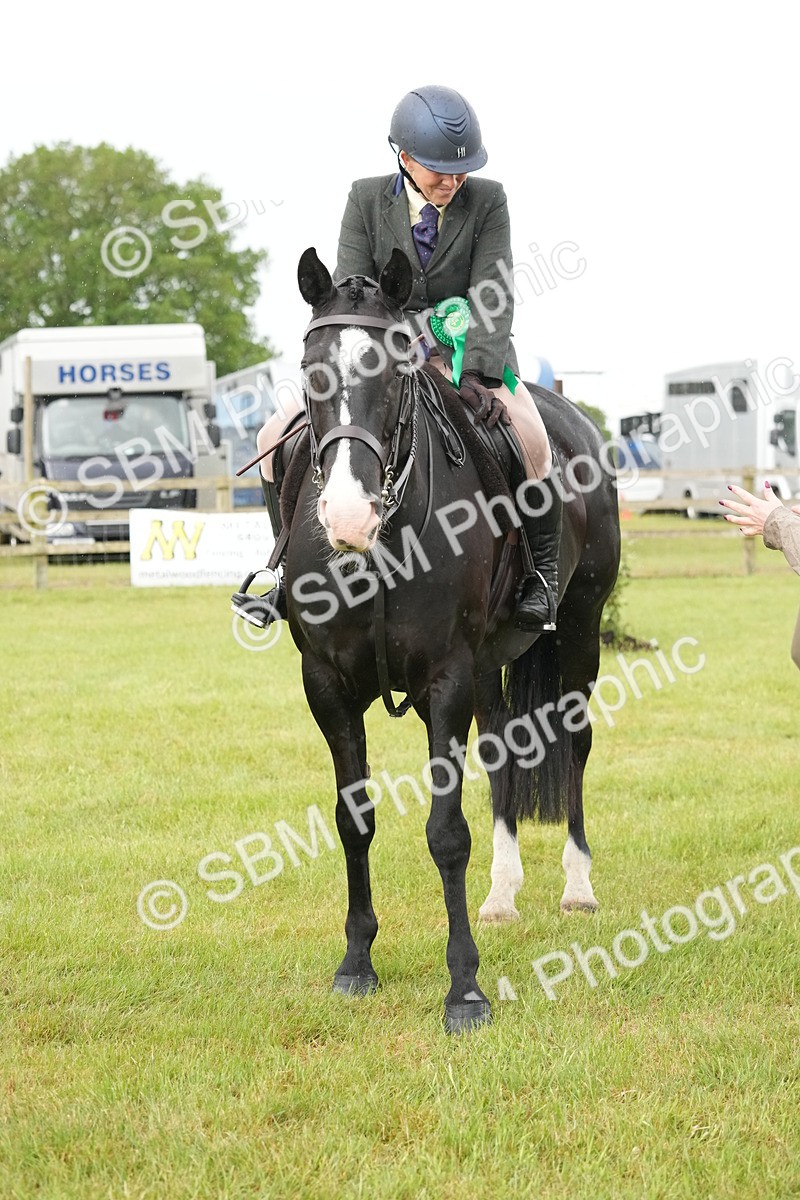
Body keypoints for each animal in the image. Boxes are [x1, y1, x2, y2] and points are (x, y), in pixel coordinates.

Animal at [281, 246, 621, 1033]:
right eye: (311, 370)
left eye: (395, 371)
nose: (347, 517)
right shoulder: (327, 686)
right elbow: (353, 821)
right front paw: (357, 963)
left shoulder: (447, 680)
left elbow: (445, 833)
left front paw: (464, 987)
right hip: (494, 663)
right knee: (503, 749)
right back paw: (501, 894)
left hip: (578, 634)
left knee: (576, 744)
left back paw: (577, 886)